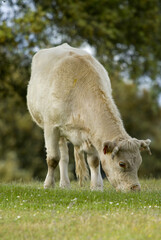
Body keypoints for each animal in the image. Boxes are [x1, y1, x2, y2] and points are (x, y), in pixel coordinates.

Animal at [26, 43, 151, 192]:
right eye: (122, 164)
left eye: (139, 162)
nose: (135, 188)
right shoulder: (51, 127)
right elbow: (53, 158)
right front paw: (48, 185)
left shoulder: (92, 134)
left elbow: (94, 161)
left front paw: (96, 186)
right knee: (62, 157)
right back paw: (64, 183)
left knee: (65, 157)